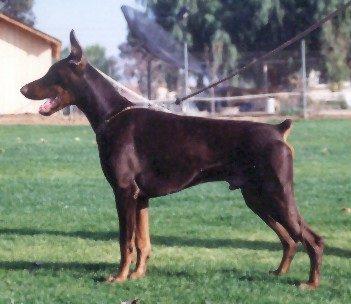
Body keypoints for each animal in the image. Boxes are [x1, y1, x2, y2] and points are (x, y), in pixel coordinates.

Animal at [21, 30, 324, 290]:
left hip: (276, 193)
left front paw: (119, 277)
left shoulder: (124, 192)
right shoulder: (140, 197)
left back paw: (311, 283)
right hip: (256, 198)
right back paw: (280, 272)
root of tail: (279, 130)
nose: (23, 89)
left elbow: (125, 241)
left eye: (51, 73)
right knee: (290, 239)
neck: (112, 115)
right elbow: (142, 242)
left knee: (312, 238)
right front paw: (138, 275)